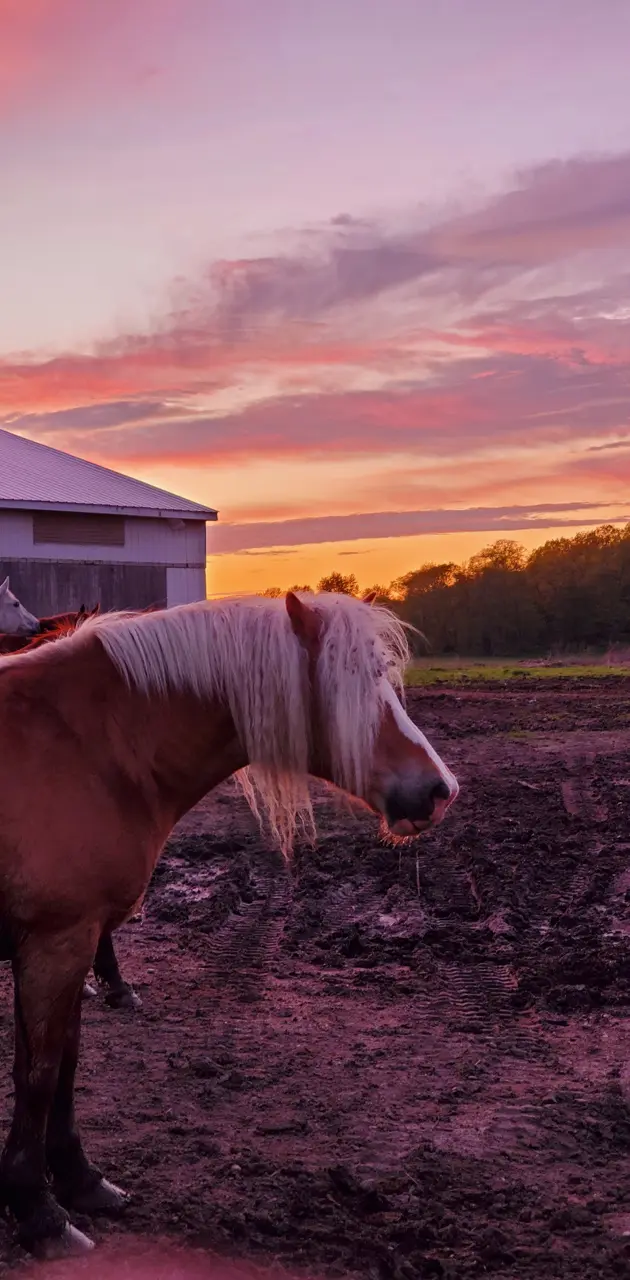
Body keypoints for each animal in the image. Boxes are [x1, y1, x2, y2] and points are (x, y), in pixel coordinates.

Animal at [0, 593, 458, 1254]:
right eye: (354, 681)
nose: (440, 790)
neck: (87, 745)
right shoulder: (54, 944)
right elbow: (39, 1076)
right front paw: (39, 1212)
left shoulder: (66, 946)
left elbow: (64, 1064)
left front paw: (81, 1182)